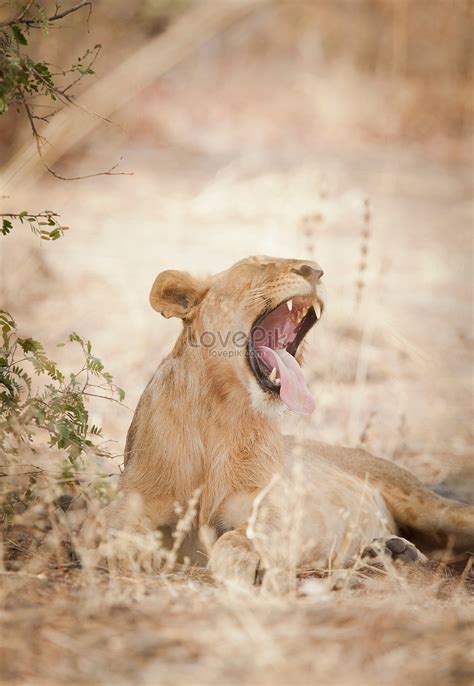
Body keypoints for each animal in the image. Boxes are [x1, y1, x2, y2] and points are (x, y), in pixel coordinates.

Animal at [98, 255, 472, 588]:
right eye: (257, 265)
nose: (315, 270)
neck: (220, 411)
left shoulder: (273, 504)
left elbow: (247, 534)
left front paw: (241, 562)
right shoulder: (134, 497)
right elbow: (112, 526)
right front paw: (132, 552)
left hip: (428, 506)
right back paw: (391, 551)